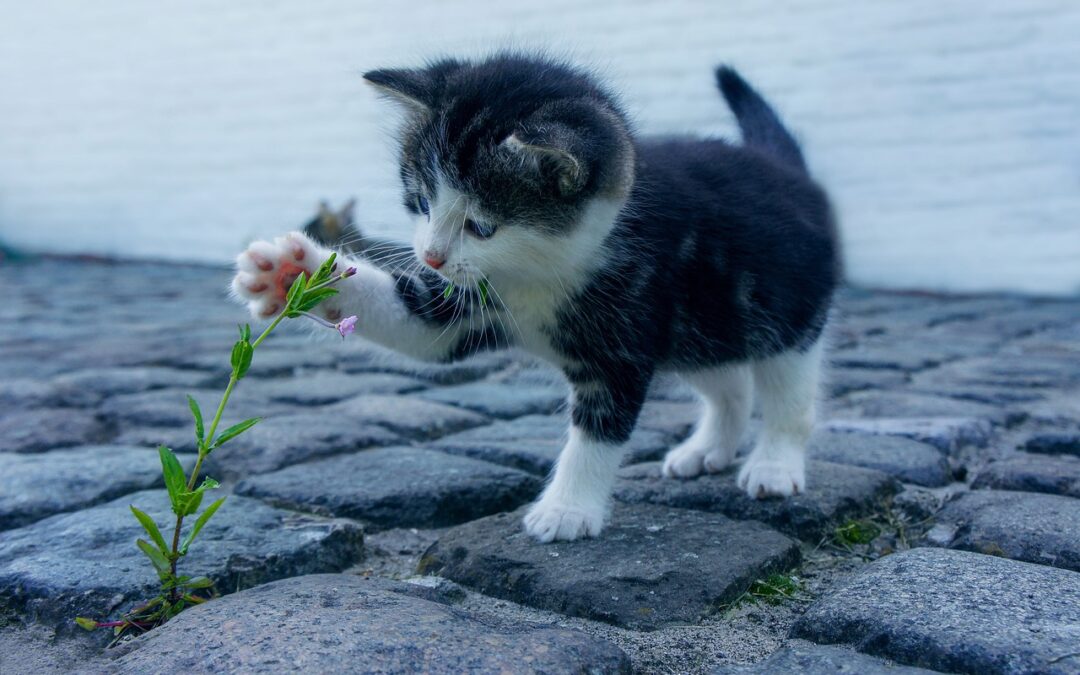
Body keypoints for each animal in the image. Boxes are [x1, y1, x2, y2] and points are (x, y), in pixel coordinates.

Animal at [234, 52, 842, 542]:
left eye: (481, 226)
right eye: (421, 202)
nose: (430, 256)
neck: (538, 271)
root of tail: (787, 170)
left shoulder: (624, 334)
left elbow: (598, 430)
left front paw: (567, 510)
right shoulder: (467, 303)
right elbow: (418, 325)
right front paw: (292, 273)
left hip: (786, 313)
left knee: (788, 393)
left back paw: (774, 465)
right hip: (702, 325)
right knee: (729, 382)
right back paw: (708, 448)